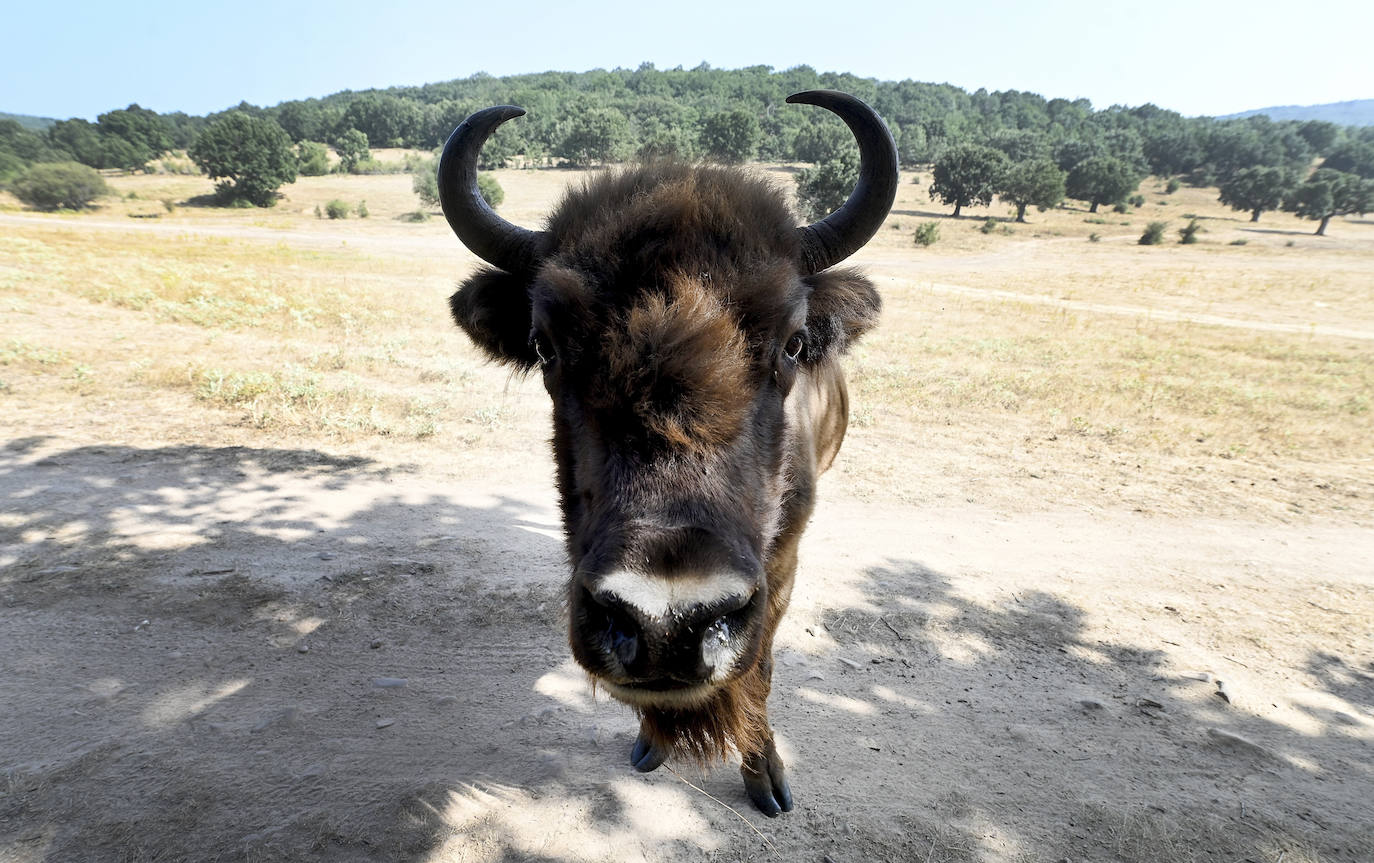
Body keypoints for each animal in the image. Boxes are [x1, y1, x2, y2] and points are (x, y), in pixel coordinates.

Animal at [434, 94, 895, 813]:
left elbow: (761, 665)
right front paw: (650, 745)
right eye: (545, 344)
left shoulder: (782, 565)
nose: (667, 622)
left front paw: (767, 780)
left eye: (793, 342)